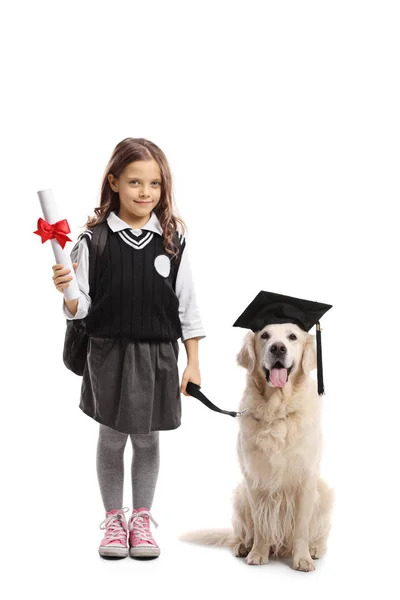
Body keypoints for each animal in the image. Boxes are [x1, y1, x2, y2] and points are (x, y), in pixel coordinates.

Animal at [181, 324, 334, 572]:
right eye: (265, 335)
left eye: (292, 336)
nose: (278, 348)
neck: (277, 411)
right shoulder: (255, 479)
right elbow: (261, 525)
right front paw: (258, 553)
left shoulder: (305, 478)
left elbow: (301, 527)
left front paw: (302, 558)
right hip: (240, 495)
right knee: (243, 532)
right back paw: (243, 546)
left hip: (324, 493)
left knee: (319, 533)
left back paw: (315, 549)